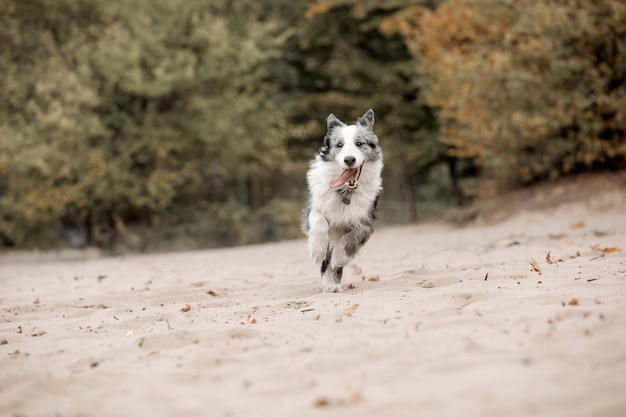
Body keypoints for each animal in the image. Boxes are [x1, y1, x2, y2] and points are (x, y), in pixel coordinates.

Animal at [302, 110, 382, 292]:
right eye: (339, 145)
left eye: (359, 143)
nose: (349, 160)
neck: (345, 192)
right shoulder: (313, 210)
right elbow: (319, 222)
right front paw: (316, 250)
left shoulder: (366, 222)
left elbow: (351, 238)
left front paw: (341, 256)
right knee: (325, 262)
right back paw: (330, 285)